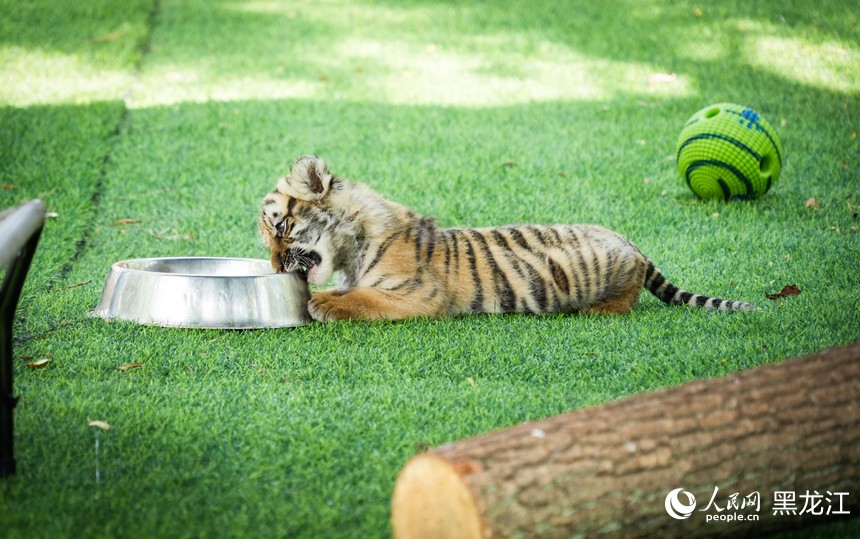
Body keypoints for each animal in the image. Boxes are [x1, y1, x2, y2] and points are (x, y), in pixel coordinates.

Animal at [259, 155, 754, 322]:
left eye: (281, 229)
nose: (276, 267)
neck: (351, 245)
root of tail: (631, 241)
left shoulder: (419, 295)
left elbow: (364, 298)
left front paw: (323, 303)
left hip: (611, 275)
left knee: (627, 297)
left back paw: (597, 309)